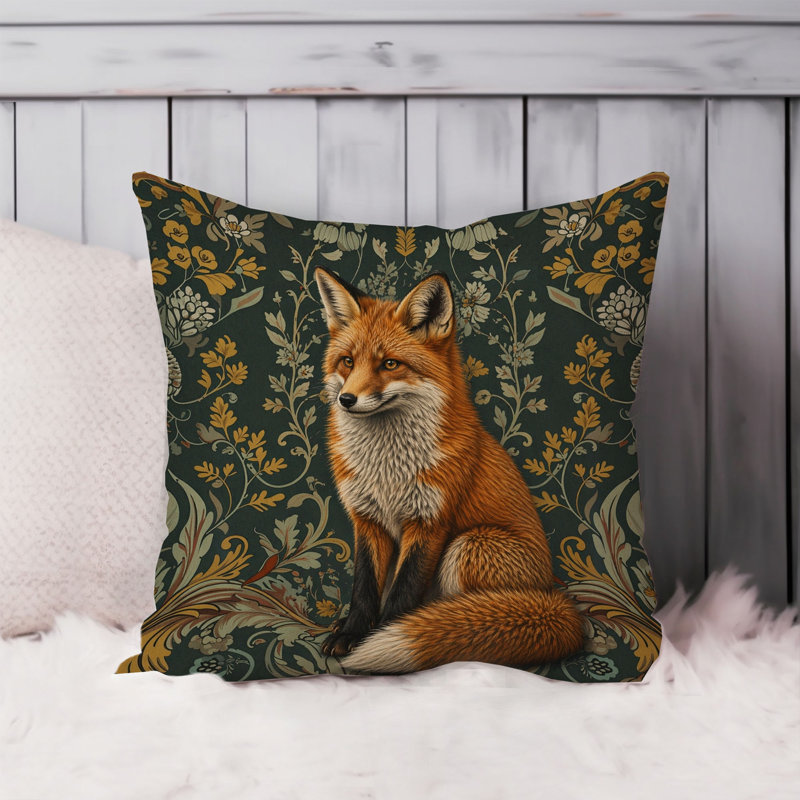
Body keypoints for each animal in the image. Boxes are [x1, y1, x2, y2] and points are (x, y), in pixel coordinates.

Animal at [314, 266, 584, 673]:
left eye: (389, 364)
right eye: (347, 361)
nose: (347, 400)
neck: (387, 469)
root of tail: (552, 594)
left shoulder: (430, 521)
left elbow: (402, 591)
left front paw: (380, 635)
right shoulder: (368, 519)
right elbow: (364, 587)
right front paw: (352, 632)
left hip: (469, 545)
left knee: (470, 613)